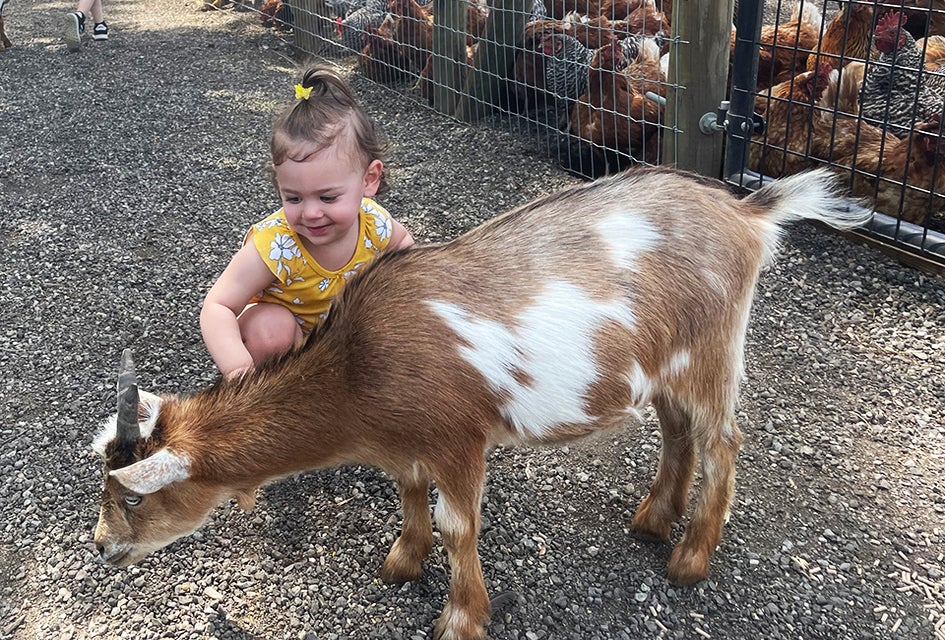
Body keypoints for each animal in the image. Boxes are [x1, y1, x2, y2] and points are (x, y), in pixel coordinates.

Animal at [92, 166, 870, 640]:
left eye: (133, 497)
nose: (101, 547)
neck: (356, 370)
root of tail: (746, 210)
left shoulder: (458, 439)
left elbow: (457, 525)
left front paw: (461, 619)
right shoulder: (403, 443)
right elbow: (409, 497)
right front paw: (400, 564)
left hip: (711, 351)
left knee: (721, 440)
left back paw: (689, 558)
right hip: (663, 367)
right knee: (677, 433)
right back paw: (652, 521)